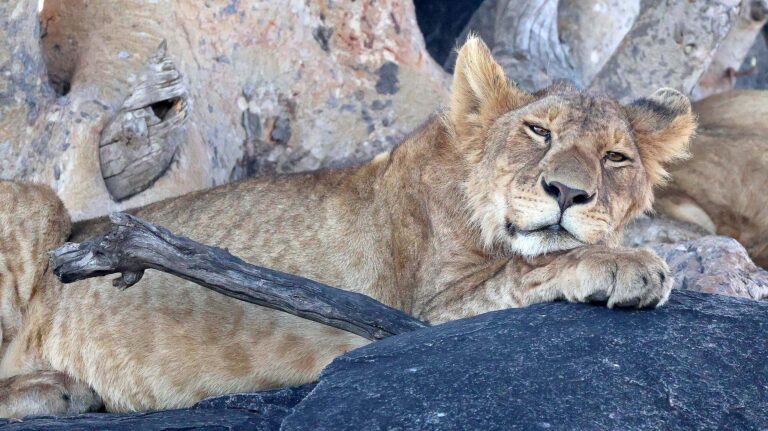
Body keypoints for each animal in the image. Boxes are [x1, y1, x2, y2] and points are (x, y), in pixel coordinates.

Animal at [0, 37, 695, 418]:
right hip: (38, 202)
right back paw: (57, 386)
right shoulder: (408, 319)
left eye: (616, 157)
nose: (569, 193)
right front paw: (631, 264)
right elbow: (530, 266)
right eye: (538, 131)